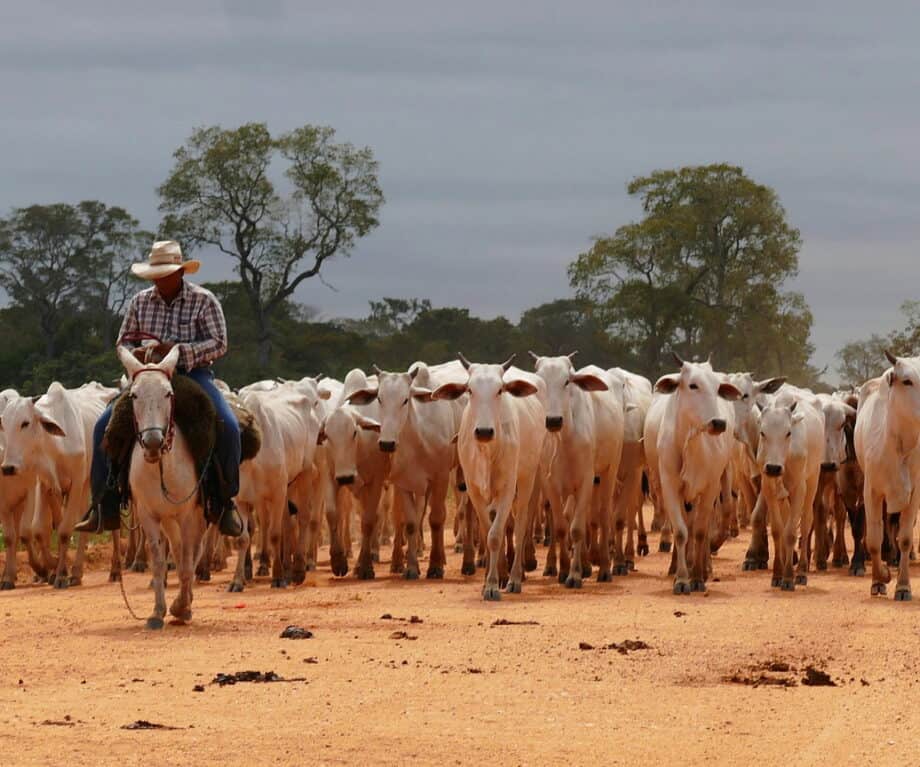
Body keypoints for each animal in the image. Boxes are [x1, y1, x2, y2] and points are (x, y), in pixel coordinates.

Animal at [117, 348, 208, 632]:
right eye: (134, 395)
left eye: (168, 393)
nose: (153, 442)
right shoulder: (149, 514)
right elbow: (158, 561)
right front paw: (158, 612)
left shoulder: (189, 514)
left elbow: (189, 561)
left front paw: (183, 608)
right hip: (169, 519)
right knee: (178, 551)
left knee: (193, 552)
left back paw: (185, 602)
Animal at [434, 354, 548, 600]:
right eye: (469, 390)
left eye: (500, 390)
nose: (484, 432)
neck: (487, 451)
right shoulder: (473, 489)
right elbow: (488, 532)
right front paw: (490, 580)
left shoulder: (507, 488)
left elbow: (495, 535)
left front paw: (494, 585)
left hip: (527, 479)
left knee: (521, 524)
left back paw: (514, 578)